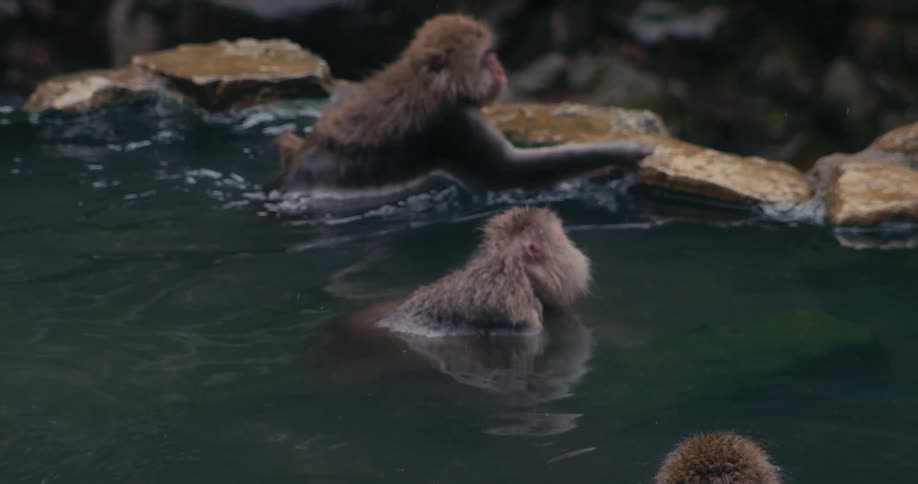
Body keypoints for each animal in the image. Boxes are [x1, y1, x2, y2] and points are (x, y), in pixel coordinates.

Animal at [268, 14, 653, 209]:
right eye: (487, 57)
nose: (500, 69)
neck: (439, 86)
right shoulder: (457, 126)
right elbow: (511, 174)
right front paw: (625, 152)